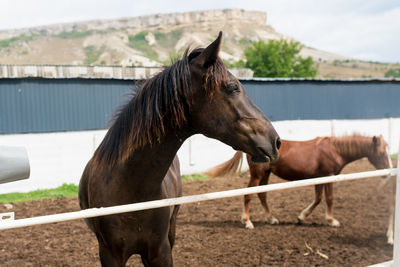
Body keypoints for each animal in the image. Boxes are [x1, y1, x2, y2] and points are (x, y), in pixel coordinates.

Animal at [208, 136, 392, 230]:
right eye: (382, 153)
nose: (389, 171)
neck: (335, 150)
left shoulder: (320, 178)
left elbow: (318, 199)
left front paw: (302, 216)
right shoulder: (328, 176)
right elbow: (329, 199)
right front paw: (332, 221)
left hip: (266, 175)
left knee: (262, 195)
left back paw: (271, 218)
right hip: (257, 175)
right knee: (249, 195)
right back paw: (247, 221)